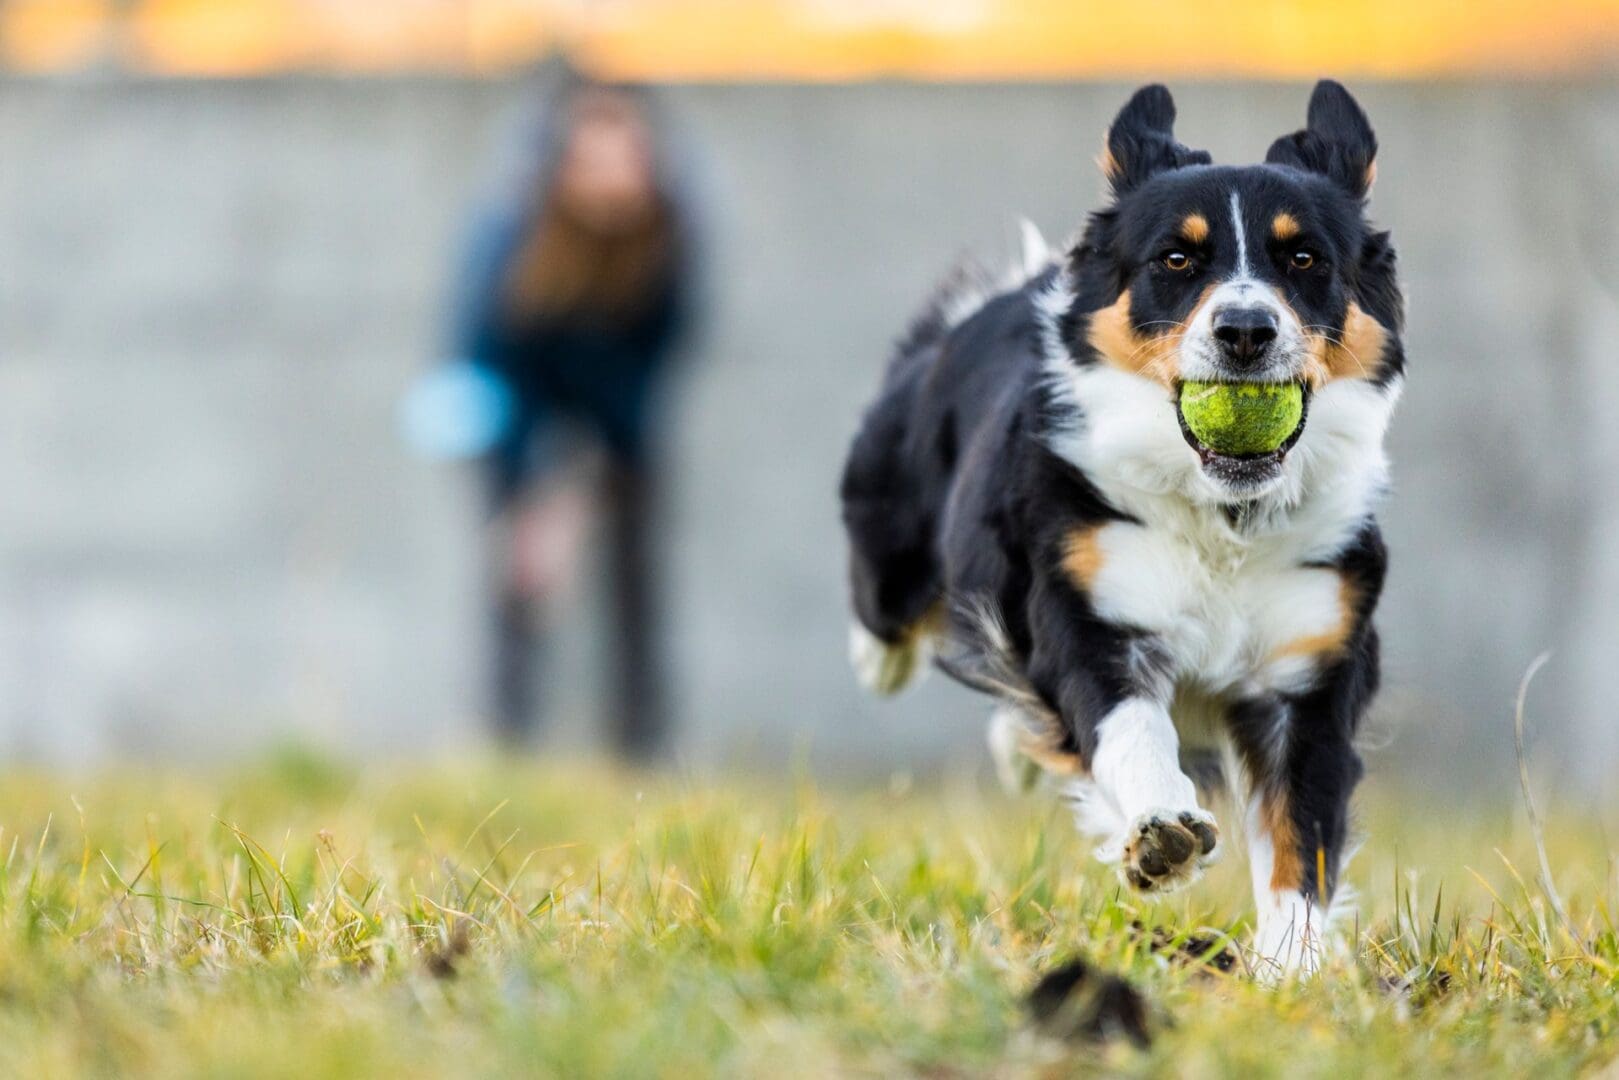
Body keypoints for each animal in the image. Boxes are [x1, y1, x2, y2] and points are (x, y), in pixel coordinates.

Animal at [841, 80, 1398, 977]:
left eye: (1304, 259)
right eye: (1175, 259)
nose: (1246, 331)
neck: (1222, 519)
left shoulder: (1308, 673)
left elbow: (1299, 837)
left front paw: (1290, 973)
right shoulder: (1084, 613)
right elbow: (1127, 727)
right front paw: (1160, 834)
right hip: (890, 549)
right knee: (888, 620)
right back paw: (886, 661)